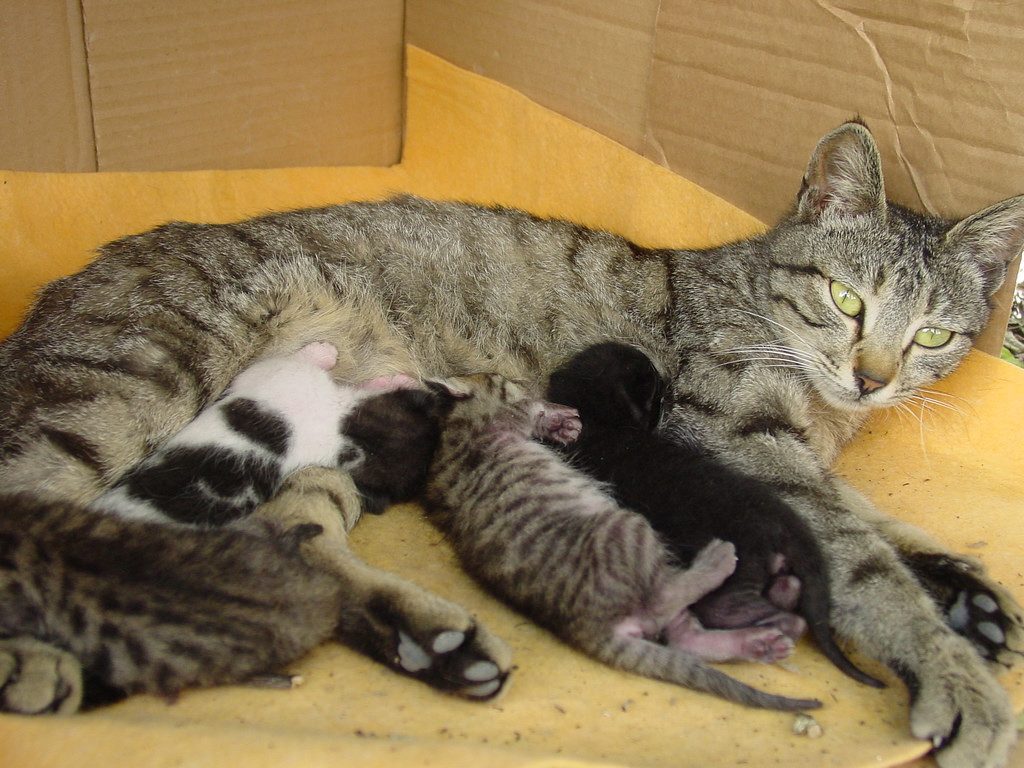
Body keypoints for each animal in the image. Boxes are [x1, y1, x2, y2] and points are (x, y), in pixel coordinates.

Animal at [419, 370, 819, 708]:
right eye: (504, 380)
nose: (521, 380)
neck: (452, 428)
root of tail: (588, 628)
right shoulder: (498, 424)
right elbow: (525, 412)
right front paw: (553, 414)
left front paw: (561, 419)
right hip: (630, 529)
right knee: (661, 602)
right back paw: (720, 565)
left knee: (682, 637)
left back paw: (764, 635)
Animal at [548, 344, 884, 692]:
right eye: (656, 393)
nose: (669, 391)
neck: (597, 417)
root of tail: (785, 520)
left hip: (738, 567)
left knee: (748, 612)